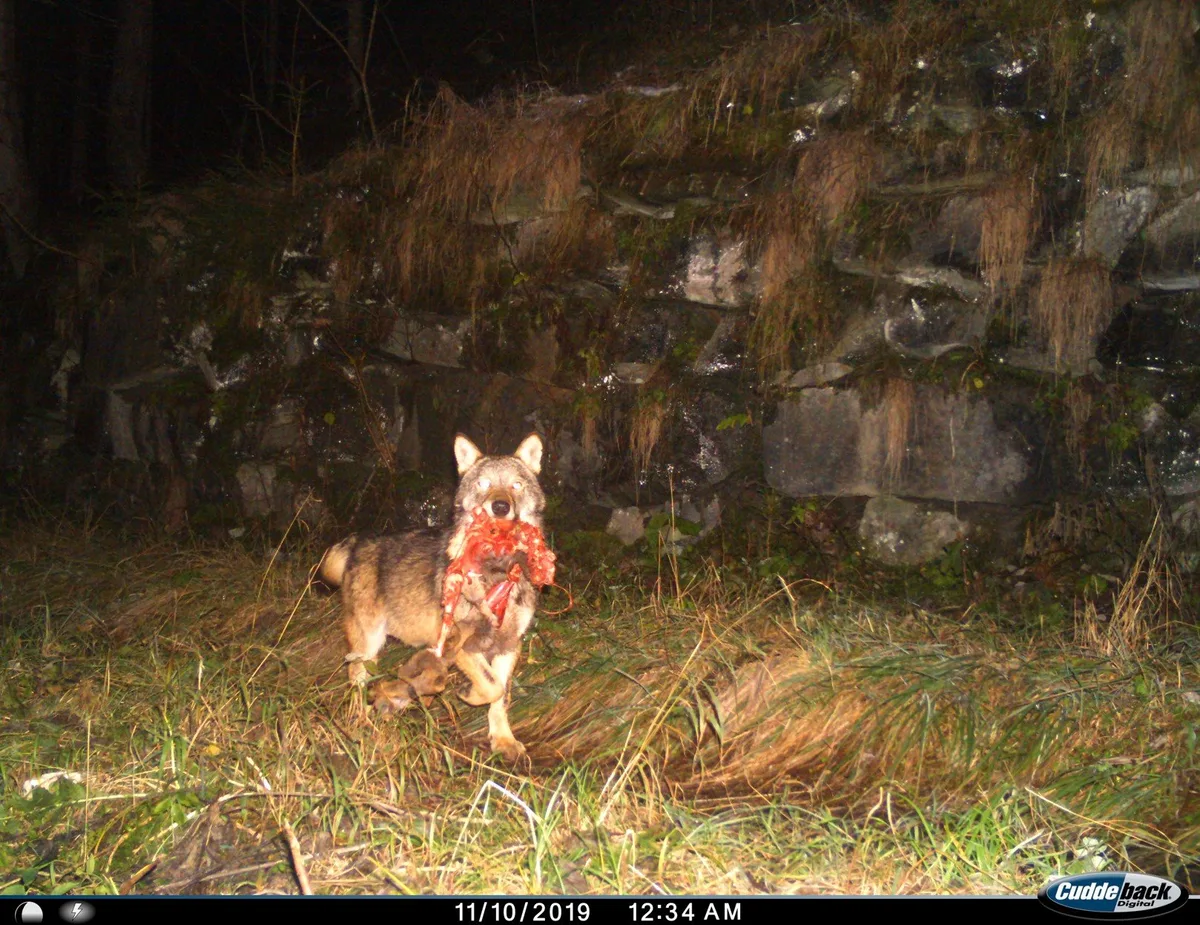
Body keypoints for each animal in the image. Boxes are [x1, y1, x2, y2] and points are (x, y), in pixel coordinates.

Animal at [318, 433, 548, 761]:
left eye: (516, 485)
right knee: (356, 677)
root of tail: (357, 541)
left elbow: (501, 696)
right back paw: (361, 724)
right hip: (368, 642)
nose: (501, 506)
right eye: (484, 484)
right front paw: (469, 694)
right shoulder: (462, 643)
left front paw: (503, 741)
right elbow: (491, 686)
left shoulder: (508, 645)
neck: (496, 571)